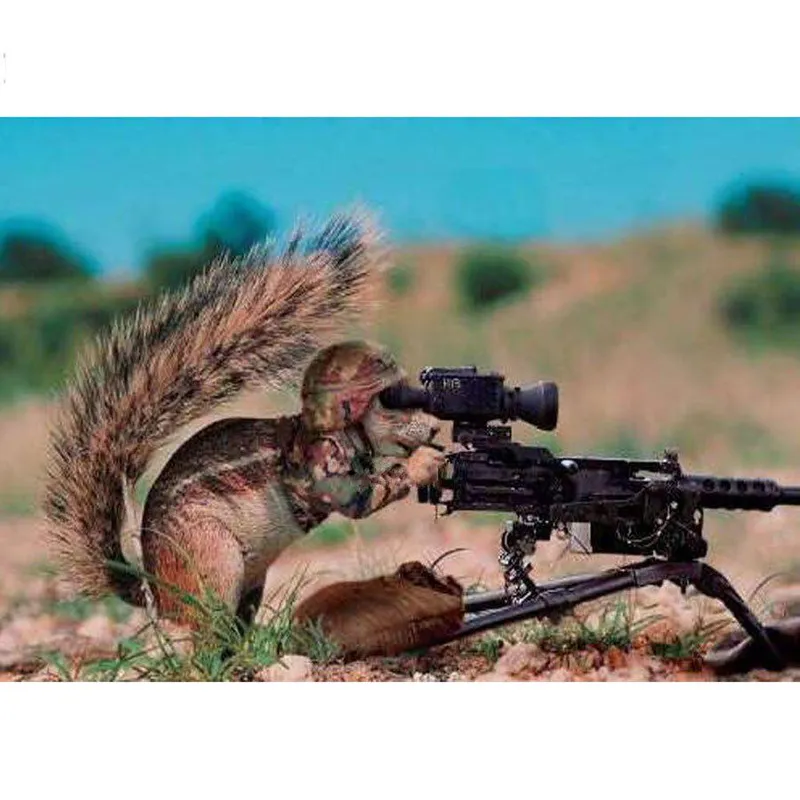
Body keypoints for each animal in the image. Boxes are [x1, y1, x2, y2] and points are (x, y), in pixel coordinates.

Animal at [43, 213, 447, 629]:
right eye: (392, 404)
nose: (436, 429)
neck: (339, 432)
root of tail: (153, 586)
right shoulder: (319, 460)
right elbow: (358, 499)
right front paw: (421, 464)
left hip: (252, 580)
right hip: (212, 558)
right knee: (208, 630)